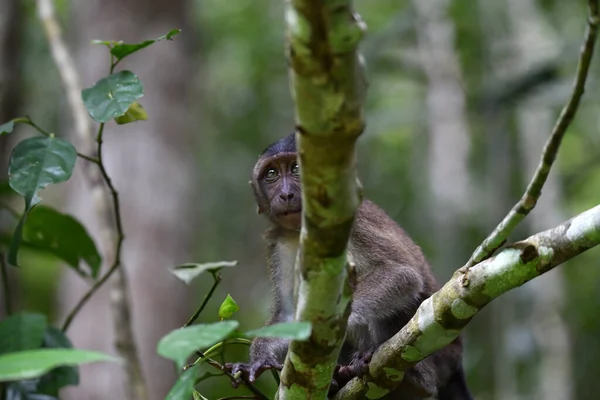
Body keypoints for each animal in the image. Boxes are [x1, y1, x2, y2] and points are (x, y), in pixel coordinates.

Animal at [226, 134, 474, 400]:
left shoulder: (351, 221)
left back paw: (416, 381)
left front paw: (322, 328)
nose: (285, 194)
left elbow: (402, 275)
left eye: (295, 169)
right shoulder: (279, 242)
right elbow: (288, 314)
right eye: (271, 173)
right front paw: (259, 356)